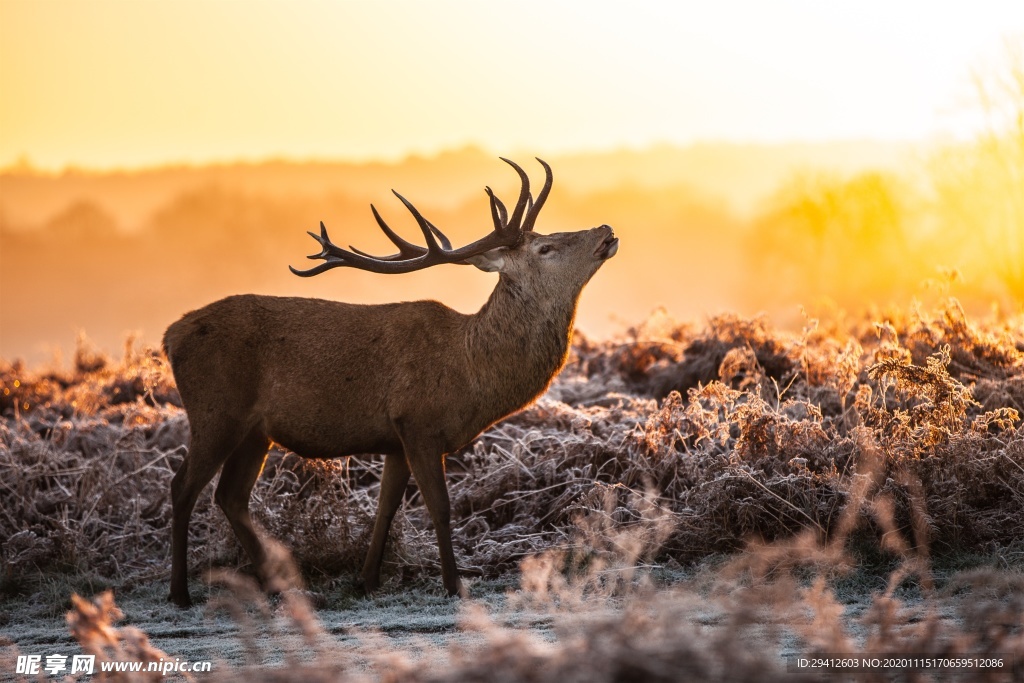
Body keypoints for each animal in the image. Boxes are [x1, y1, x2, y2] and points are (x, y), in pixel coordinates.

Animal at [163, 157, 618, 606]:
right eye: (546, 248)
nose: (606, 230)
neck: (471, 374)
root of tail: (170, 336)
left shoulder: (395, 439)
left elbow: (386, 508)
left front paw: (366, 580)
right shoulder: (419, 423)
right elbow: (439, 507)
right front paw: (454, 585)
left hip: (255, 431)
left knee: (230, 496)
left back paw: (282, 584)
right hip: (215, 411)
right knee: (183, 486)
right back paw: (180, 592)